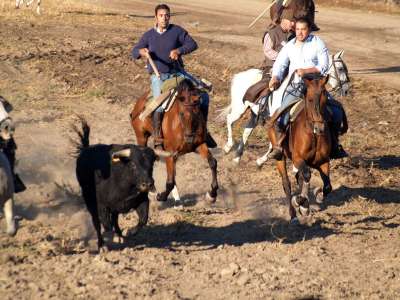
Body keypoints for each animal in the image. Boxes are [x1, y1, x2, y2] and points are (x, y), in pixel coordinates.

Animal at [222, 50, 350, 165]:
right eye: (340, 69)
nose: (346, 90)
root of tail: (240, 75)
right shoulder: (277, 121)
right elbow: (274, 142)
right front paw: (263, 159)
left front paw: (262, 160)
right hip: (240, 109)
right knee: (229, 120)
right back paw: (228, 146)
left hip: (254, 114)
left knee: (246, 131)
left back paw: (237, 157)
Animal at [268, 74, 332, 221]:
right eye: (310, 99)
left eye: (325, 98)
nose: (320, 128)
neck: (313, 135)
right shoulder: (298, 159)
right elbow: (306, 175)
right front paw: (300, 202)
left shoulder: (323, 162)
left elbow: (327, 186)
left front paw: (317, 195)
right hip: (280, 158)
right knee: (287, 183)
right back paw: (293, 215)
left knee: (300, 178)